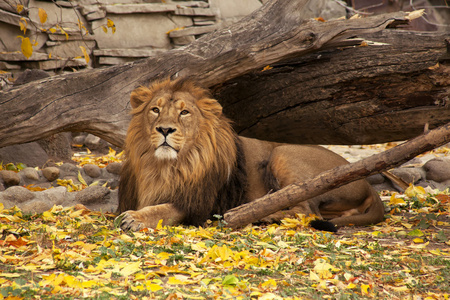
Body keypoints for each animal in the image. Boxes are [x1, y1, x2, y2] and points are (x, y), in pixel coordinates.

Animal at [116, 78, 384, 231]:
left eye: (184, 113)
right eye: (155, 110)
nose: (164, 129)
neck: (165, 166)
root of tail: (366, 183)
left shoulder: (199, 204)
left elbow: (164, 210)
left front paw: (135, 218)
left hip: (283, 153)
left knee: (306, 210)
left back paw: (260, 215)